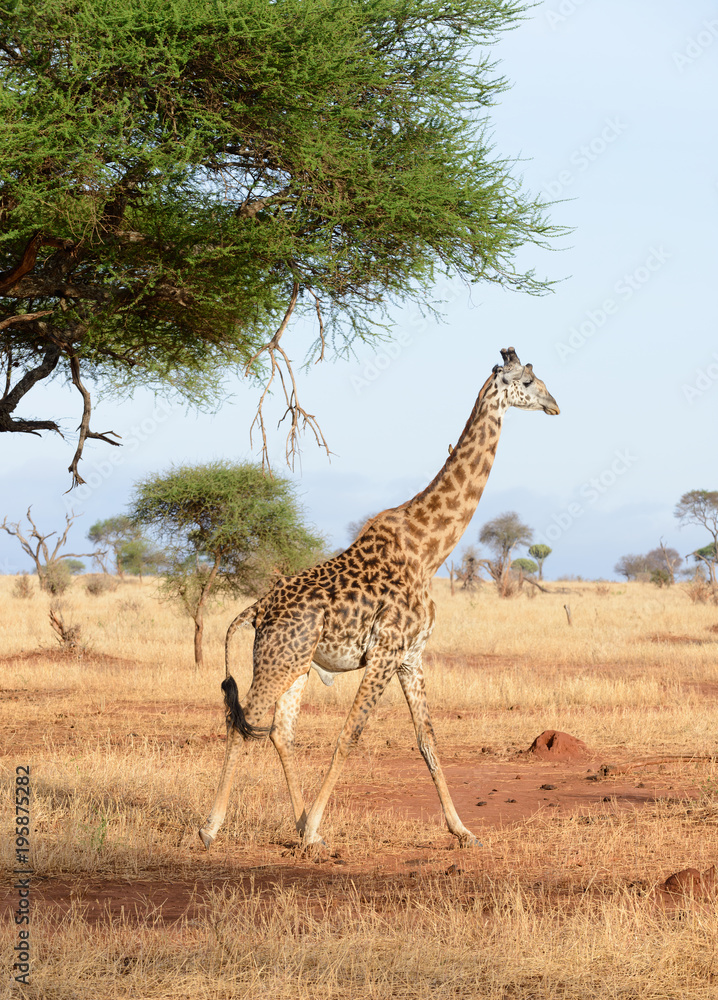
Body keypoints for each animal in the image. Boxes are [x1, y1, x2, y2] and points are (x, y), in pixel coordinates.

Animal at [199, 347, 559, 850]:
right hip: (277, 661)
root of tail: (257, 609)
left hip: (294, 664)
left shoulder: (411, 656)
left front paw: (462, 831)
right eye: (527, 382)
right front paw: (316, 824)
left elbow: (428, 741)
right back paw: (212, 827)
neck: (429, 550)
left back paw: (298, 827)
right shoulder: (386, 652)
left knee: (279, 733)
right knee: (243, 724)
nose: (555, 405)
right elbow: (350, 735)